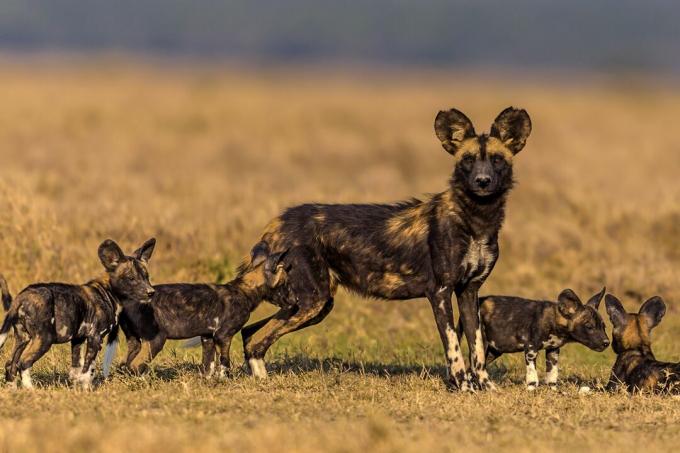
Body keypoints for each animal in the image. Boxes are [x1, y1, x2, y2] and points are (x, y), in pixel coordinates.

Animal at [0, 238, 155, 390]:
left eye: (147, 277)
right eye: (131, 278)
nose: (151, 292)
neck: (108, 292)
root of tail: (22, 296)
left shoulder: (78, 339)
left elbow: (76, 370)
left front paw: (76, 389)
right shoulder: (95, 337)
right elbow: (88, 370)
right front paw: (87, 390)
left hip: (22, 338)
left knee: (10, 365)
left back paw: (13, 390)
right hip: (44, 339)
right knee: (23, 363)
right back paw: (30, 390)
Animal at [239, 106, 532, 388]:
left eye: (497, 160)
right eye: (468, 160)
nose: (482, 181)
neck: (476, 219)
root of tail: (278, 221)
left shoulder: (469, 292)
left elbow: (477, 347)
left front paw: (485, 387)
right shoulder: (440, 293)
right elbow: (454, 348)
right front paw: (463, 386)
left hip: (310, 305)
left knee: (250, 333)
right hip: (313, 301)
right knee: (258, 338)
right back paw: (263, 384)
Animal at [462, 286, 612, 388]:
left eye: (603, 327)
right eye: (589, 327)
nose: (606, 343)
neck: (554, 320)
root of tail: (479, 300)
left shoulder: (553, 351)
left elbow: (552, 376)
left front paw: (553, 392)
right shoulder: (530, 349)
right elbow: (532, 377)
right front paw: (531, 391)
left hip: (493, 352)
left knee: (471, 370)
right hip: (482, 346)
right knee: (473, 369)